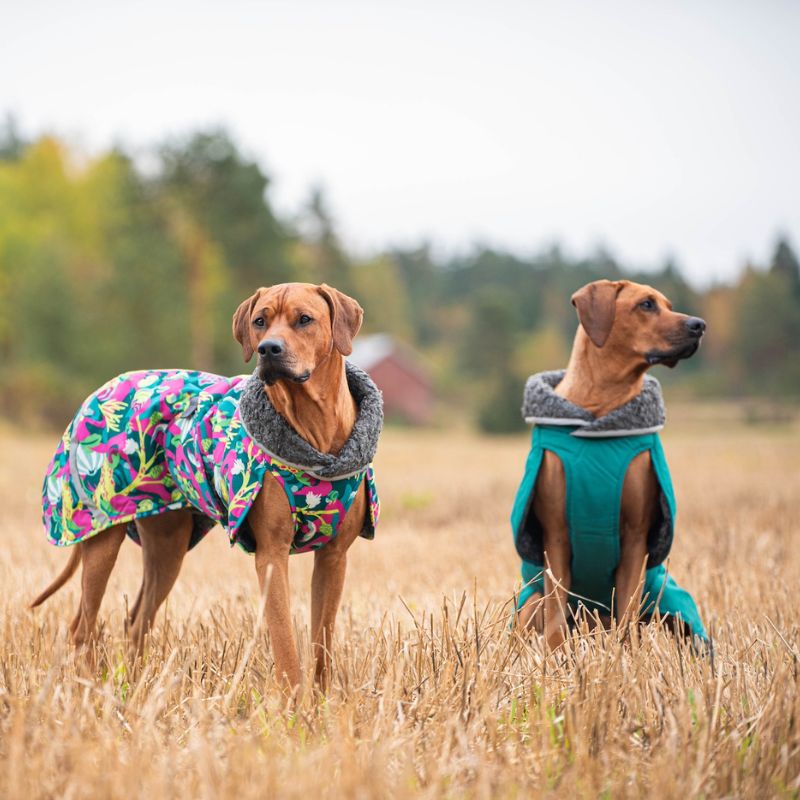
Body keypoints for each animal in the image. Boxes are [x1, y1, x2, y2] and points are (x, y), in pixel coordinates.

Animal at [31, 284, 382, 692]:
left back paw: (134, 685)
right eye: (259, 321)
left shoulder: (334, 557)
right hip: (104, 532)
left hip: (168, 544)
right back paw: (90, 689)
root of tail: (100, 390)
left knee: (136, 621)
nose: (269, 349)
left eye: (305, 319)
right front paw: (294, 702)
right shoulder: (272, 554)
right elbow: (285, 642)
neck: (315, 432)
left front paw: (323, 701)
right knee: (82, 627)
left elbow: (321, 643)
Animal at [512, 282, 708, 648]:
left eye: (668, 304)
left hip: (665, 604)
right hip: (531, 601)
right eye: (646, 304)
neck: (600, 405)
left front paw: (625, 655)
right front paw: (555, 653)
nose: (699, 325)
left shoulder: (636, 535)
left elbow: (627, 616)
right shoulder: (556, 534)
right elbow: (556, 611)